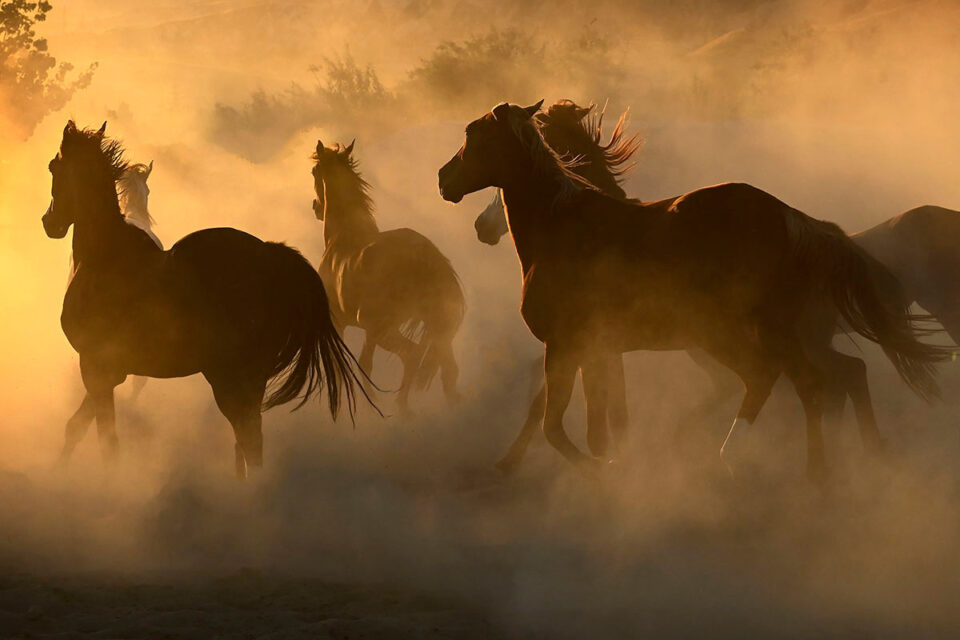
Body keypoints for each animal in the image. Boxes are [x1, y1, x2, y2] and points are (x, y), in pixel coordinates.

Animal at [42, 122, 364, 478]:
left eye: (53, 167)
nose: (49, 222)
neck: (106, 255)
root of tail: (271, 257)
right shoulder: (112, 370)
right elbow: (80, 427)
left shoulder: (95, 364)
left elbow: (104, 439)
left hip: (229, 379)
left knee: (248, 439)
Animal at [312, 139, 464, 416]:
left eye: (314, 172)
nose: (316, 207)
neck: (343, 238)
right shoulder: (367, 330)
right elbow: (364, 364)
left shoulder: (342, 323)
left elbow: (351, 367)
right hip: (435, 329)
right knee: (448, 372)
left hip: (385, 328)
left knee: (411, 354)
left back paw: (402, 410)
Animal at [438, 101, 948, 480]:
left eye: (472, 135)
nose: (444, 179)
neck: (562, 228)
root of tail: (792, 218)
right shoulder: (595, 349)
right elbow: (591, 420)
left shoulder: (567, 344)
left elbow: (556, 424)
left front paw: (600, 470)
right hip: (772, 334)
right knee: (819, 381)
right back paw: (826, 471)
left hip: (739, 332)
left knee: (781, 378)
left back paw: (741, 456)